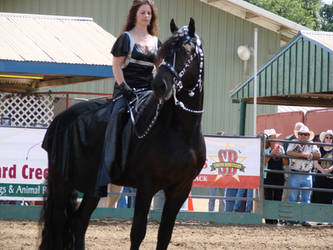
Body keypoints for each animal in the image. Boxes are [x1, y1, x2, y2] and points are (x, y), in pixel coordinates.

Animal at [39, 19, 205, 250]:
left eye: (186, 51)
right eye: (163, 52)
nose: (160, 86)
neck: (181, 131)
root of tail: (60, 118)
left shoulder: (180, 189)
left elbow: (165, 234)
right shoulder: (146, 186)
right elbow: (138, 232)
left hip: (92, 186)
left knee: (79, 221)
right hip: (62, 182)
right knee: (58, 220)